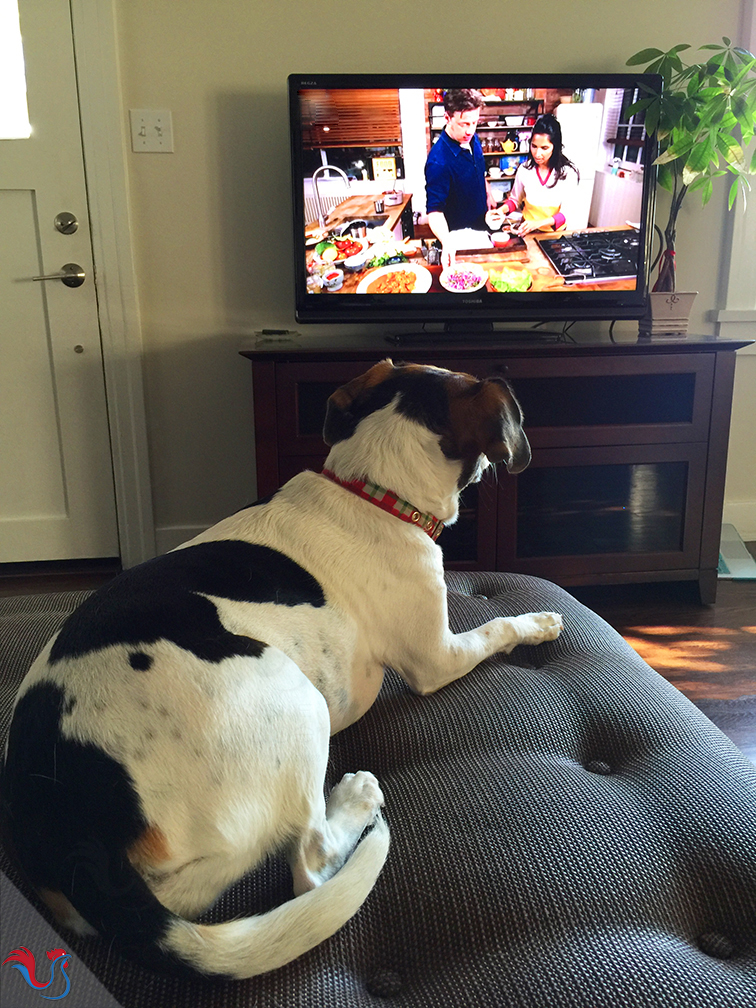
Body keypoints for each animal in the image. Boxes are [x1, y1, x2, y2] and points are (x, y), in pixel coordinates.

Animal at [1, 360, 564, 975]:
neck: (374, 491)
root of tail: (73, 831)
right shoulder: (435, 657)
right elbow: (497, 626)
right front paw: (540, 621)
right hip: (298, 701)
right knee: (310, 866)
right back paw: (355, 798)